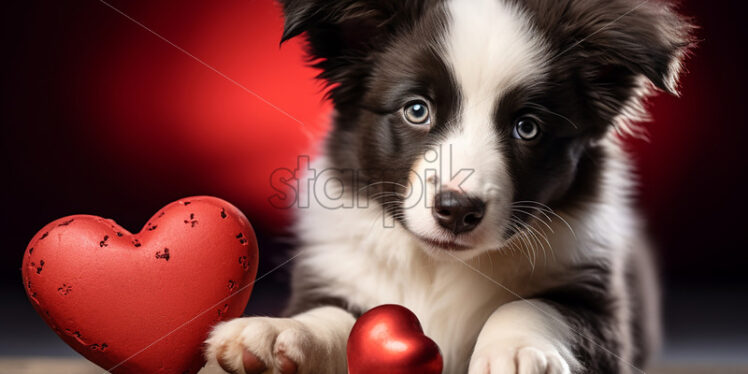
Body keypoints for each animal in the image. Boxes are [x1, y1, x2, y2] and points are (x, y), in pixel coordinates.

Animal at [206, 0, 696, 374]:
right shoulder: (334, 274)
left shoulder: (603, 309)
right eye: (417, 110)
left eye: (527, 128)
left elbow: (532, 305)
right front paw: (277, 332)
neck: (438, 265)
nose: (458, 210)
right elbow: (336, 314)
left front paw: (516, 351)